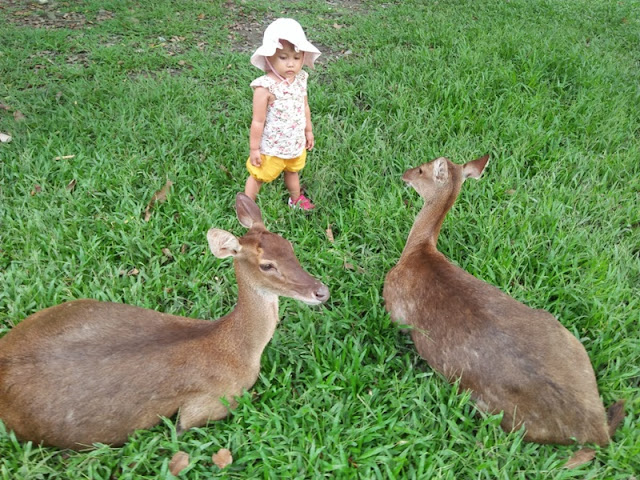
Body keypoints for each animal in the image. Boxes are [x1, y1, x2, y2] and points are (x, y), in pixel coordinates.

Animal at [382, 158, 624, 446]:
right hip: (564, 334)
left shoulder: (392, 302)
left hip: (495, 411)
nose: (405, 174)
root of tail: (597, 430)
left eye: (422, 169)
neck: (418, 251)